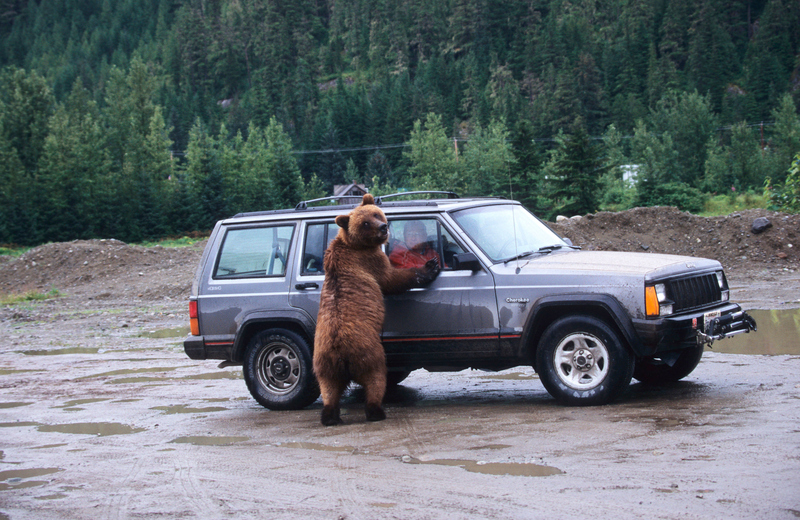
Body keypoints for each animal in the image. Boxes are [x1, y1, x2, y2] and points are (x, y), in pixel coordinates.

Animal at [312, 195, 440, 426]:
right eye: (365, 223)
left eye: (376, 214)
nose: (383, 227)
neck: (353, 245)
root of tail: (340, 353)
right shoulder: (369, 261)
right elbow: (391, 279)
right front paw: (429, 267)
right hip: (369, 354)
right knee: (376, 379)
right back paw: (376, 411)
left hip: (324, 365)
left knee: (329, 389)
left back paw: (329, 416)